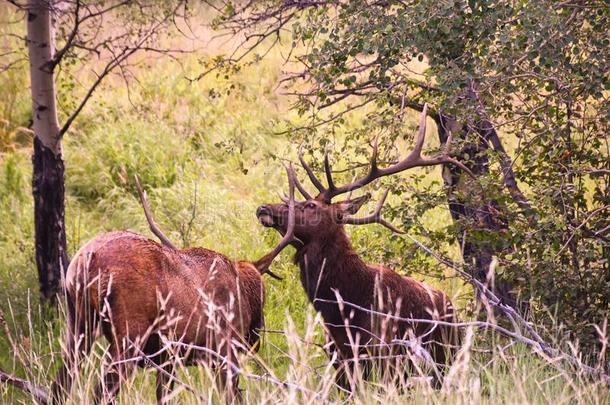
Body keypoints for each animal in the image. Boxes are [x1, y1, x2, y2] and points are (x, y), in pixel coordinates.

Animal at [51, 166, 296, 400]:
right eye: (263, 295)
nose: (255, 339)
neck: (243, 291)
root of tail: (87, 260)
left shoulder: (169, 358)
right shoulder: (224, 349)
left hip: (79, 324)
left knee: (60, 384)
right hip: (129, 334)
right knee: (101, 391)